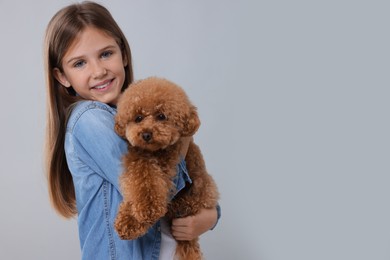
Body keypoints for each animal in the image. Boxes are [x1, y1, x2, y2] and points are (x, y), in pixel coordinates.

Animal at [115, 76, 219, 258]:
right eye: (138, 118)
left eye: (161, 116)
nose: (146, 134)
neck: (154, 153)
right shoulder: (138, 161)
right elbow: (142, 181)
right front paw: (129, 219)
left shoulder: (167, 169)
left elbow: (150, 190)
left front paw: (140, 216)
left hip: (197, 194)